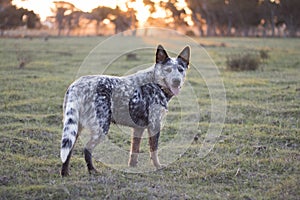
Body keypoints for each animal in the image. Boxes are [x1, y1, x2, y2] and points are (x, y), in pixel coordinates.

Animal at [59, 44, 190, 176]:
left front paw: (132, 167)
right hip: (101, 128)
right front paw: (157, 166)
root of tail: (76, 87)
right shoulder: (154, 125)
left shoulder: (138, 128)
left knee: (68, 151)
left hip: (74, 127)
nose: (176, 81)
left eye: (180, 69)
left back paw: (65, 173)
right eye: (167, 70)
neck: (155, 82)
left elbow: (134, 150)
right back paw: (93, 171)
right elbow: (154, 151)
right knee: (87, 149)